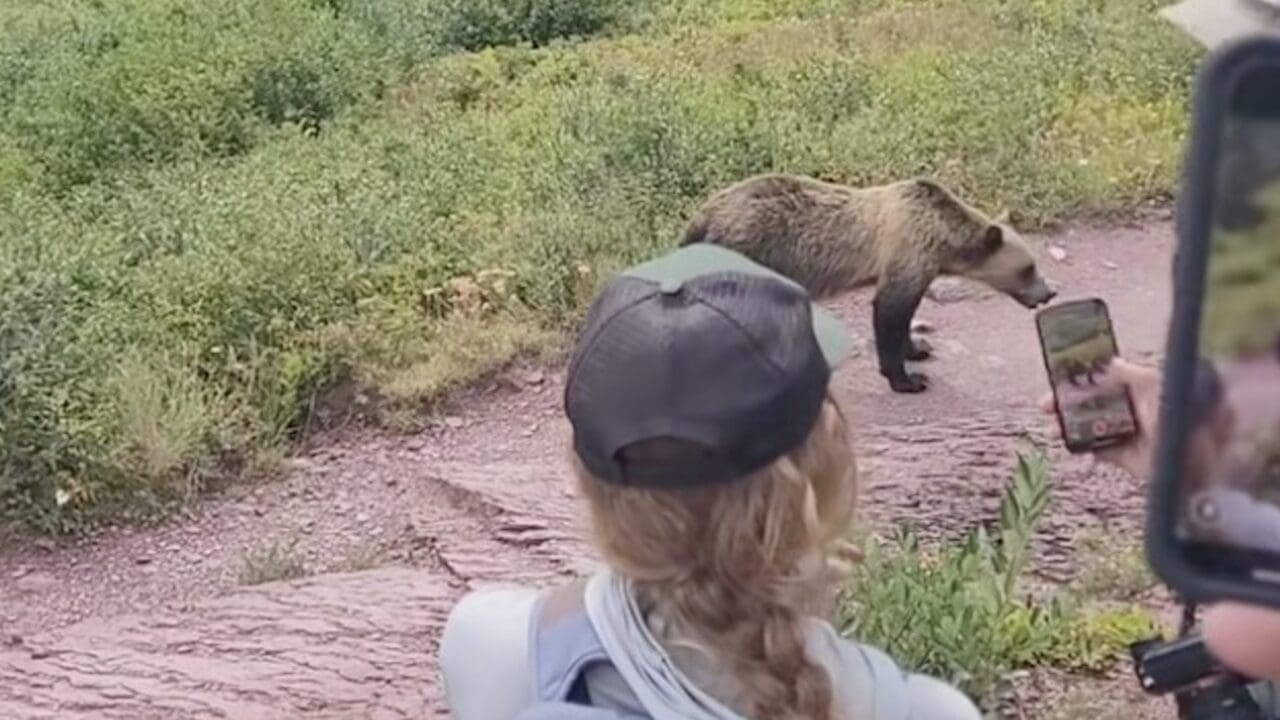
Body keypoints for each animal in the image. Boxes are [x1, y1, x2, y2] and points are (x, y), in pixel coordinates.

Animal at [681, 173, 1057, 393]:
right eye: (1028, 268)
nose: (1050, 292)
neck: (943, 238)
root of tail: (702, 214)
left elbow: (904, 316)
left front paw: (918, 347)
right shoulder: (907, 251)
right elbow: (889, 312)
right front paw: (907, 379)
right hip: (745, 250)